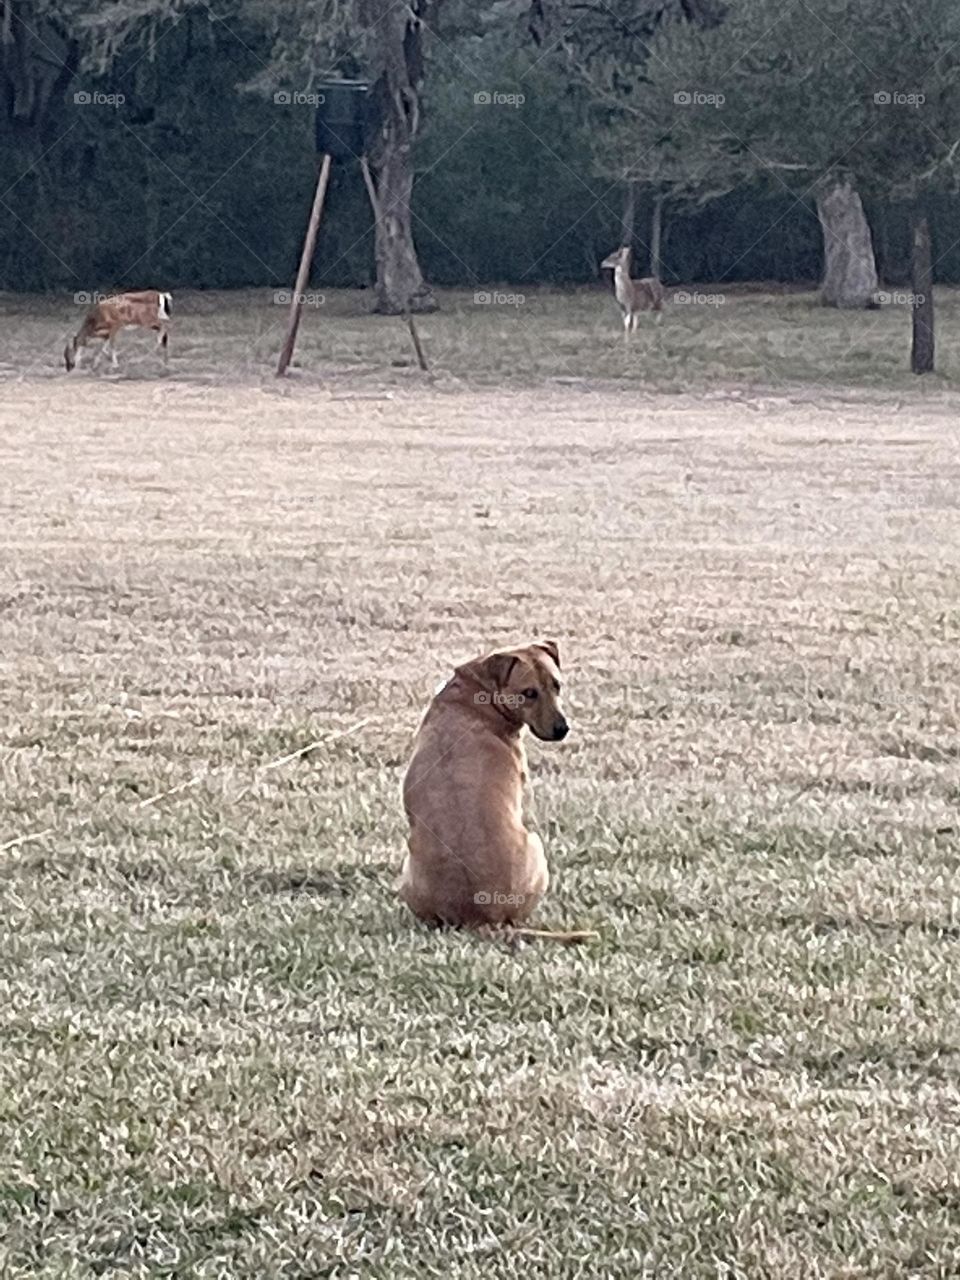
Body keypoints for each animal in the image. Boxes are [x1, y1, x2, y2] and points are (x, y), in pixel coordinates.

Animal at [399, 640, 593, 942]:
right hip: (536, 847)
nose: (563, 729)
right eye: (529, 693)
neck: (479, 692)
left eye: (557, 685)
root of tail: (483, 919)